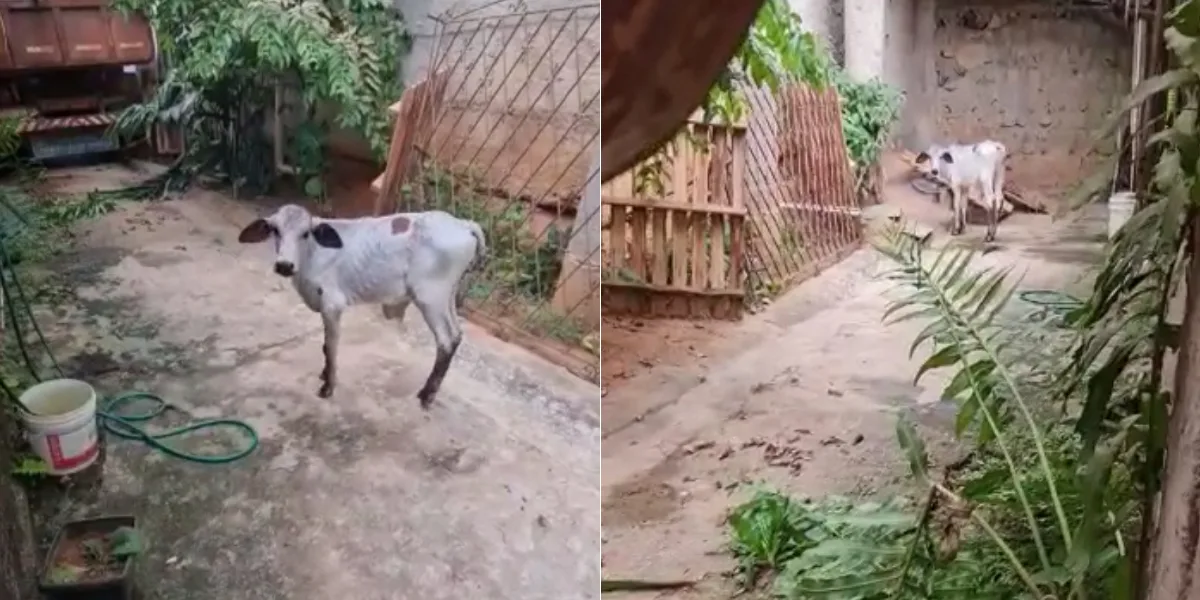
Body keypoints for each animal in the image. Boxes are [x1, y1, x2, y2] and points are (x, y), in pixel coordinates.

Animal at [237, 205, 487, 408]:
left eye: (305, 233)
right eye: (274, 230)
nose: (284, 265)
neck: (313, 255)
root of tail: (464, 224)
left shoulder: (332, 304)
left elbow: (331, 347)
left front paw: (328, 386)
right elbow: (325, 346)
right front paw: (324, 375)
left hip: (430, 297)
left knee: (446, 340)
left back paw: (426, 396)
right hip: (447, 296)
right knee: (456, 334)